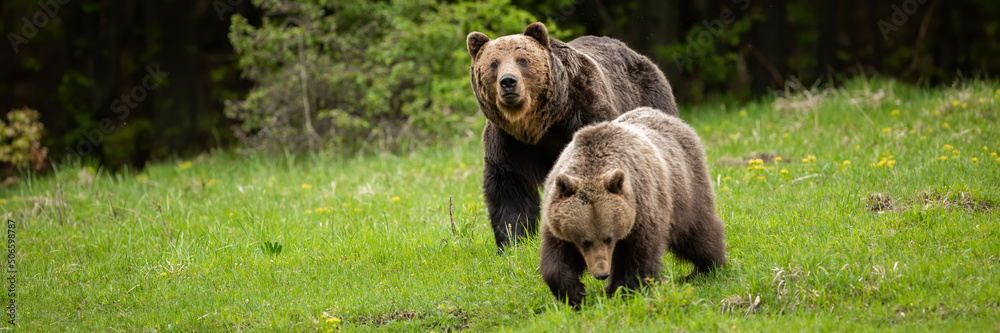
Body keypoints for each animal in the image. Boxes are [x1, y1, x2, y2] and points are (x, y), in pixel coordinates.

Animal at [468, 22, 680, 250]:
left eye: (522, 60)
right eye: (494, 63)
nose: (508, 81)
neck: (541, 123)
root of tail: (637, 53)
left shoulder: (584, 111)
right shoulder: (509, 142)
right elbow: (510, 191)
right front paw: (513, 242)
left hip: (650, 99)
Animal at [540, 106, 728, 306]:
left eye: (608, 238)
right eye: (585, 241)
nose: (601, 273)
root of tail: (675, 120)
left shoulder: (641, 208)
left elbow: (637, 255)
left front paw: (623, 291)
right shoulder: (557, 219)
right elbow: (557, 258)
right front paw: (575, 293)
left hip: (686, 189)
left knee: (697, 233)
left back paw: (708, 267)